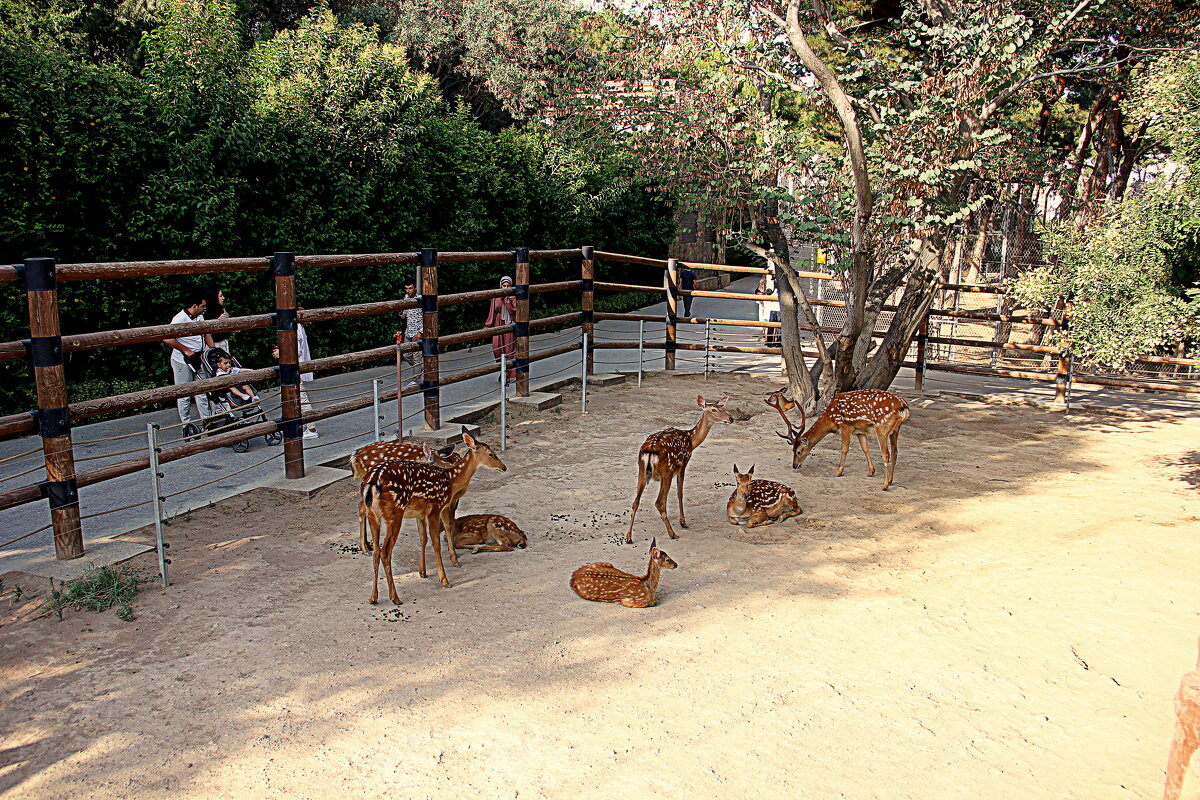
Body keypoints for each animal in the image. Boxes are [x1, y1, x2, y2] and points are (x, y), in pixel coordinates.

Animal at [628, 395, 729, 544]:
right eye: (714, 410)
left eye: (723, 408)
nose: (730, 418)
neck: (691, 441)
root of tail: (650, 450)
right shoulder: (683, 464)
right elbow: (680, 493)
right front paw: (683, 522)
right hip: (666, 471)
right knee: (659, 502)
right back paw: (672, 533)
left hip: (642, 469)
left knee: (635, 501)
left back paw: (629, 537)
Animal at [768, 386, 907, 491]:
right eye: (792, 450)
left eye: (798, 451)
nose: (794, 465)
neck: (831, 420)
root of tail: (904, 406)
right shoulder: (859, 430)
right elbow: (865, 448)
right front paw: (871, 471)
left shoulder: (845, 426)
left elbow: (844, 449)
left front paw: (838, 472)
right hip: (895, 429)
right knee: (895, 452)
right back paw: (891, 480)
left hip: (882, 428)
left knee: (886, 454)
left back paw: (885, 485)